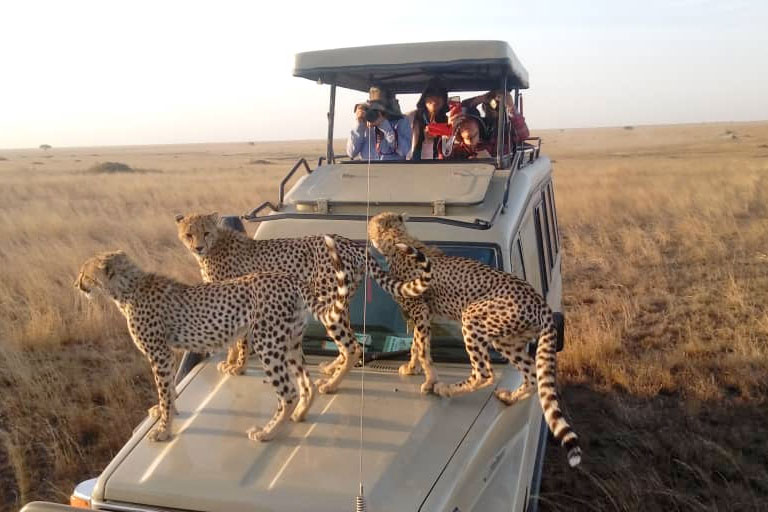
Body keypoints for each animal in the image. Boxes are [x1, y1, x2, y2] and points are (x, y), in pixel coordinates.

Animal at [73, 235, 350, 443]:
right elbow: (170, 388)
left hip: (268, 344)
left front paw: (163, 429)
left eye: (85, 274)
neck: (128, 289)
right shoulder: (166, 354)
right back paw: (300, 414)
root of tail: (289, 278)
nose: (76, 285)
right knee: (307, 383)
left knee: (288, 392)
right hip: (290, 341)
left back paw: (266, 432)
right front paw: (165, 413)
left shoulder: (159, 354)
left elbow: (164, 390)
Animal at [175, 212, 432, 395]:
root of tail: (352, 243)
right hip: (339, 302)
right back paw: (331, 368)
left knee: (351, 346)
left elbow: (240, 342)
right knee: (350, 341)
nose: (198, 246)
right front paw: (230, 363)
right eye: (189, 234)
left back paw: (331, 385)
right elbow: (232, 343)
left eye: (205, 232)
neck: (214, 246)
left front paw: (238, 367)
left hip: (329, 300)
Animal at [368, 212, 581, 467]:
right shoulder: (423, 314)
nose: (368, 235)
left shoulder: (421, 312)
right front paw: (413, 368)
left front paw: (427, 380)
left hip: (472, 318)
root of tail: (540, 302)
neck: (398, 239)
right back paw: (509, 398)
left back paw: (447, 389)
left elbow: (421, 347)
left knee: (484, 373)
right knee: (531, 374)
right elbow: (417, 346)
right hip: (507, 339)